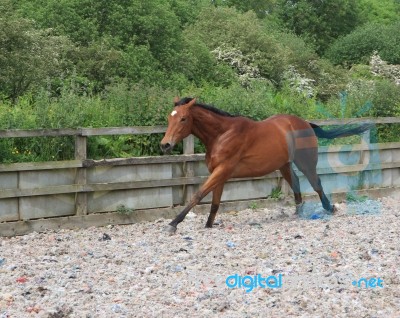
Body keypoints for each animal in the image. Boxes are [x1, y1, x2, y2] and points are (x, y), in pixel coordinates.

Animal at [159, 97, 372, 234]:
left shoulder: (222, 170)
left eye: (183, 118)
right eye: (169, 118)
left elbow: (198, 194)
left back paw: (329, 208)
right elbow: (214, 203)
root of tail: (304, 123)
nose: (165, 145)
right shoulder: (219, 173)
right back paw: (298, 211)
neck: (221, 134)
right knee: (296, 182)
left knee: (316, 183)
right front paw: (209, 225)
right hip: (284, 165)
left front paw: (173, 224)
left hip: (306, 162)